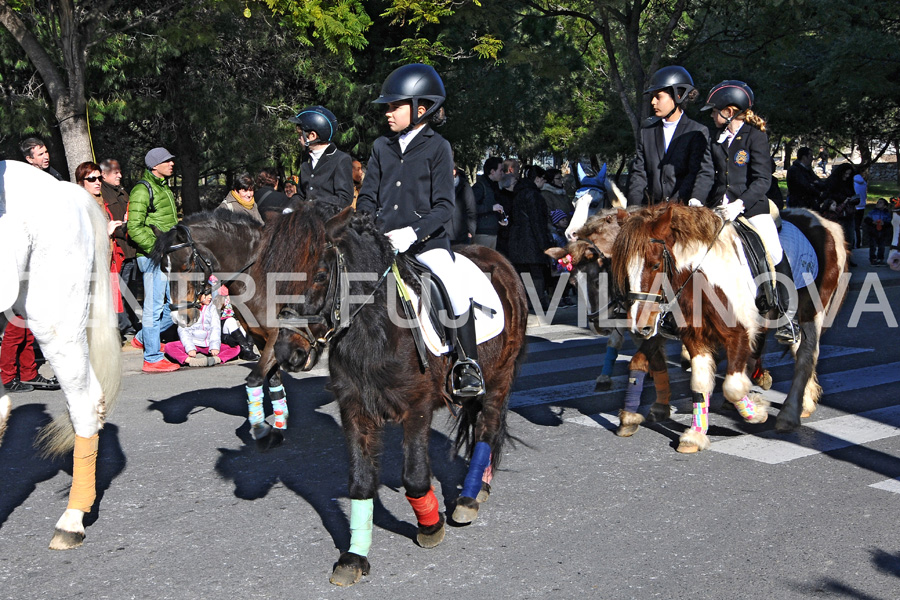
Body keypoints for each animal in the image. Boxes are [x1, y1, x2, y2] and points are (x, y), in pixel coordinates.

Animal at [264, 204, 528, 584]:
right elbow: (361, 482)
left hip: (499, 378)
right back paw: (480, 485)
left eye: (319, 275)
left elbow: (415, 477)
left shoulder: (417, 406)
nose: (288, 354)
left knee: (487, 430)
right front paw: (354, 557)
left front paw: (431, 527)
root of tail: (496, 257)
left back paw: (468, 499)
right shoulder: (354, 408)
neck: (374, 328)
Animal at [612, 204, 852, 452]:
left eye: (655, 265)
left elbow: (733, 386)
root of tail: (827, 224)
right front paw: (694, 435)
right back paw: (804, 402)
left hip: (812, 312)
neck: (703, 277)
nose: (639, 326)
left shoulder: (740, 332)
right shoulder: (694, 337)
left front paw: (756, 412)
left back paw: (789, 413)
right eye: (624, 268)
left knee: (806, 356)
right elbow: (700, 382)